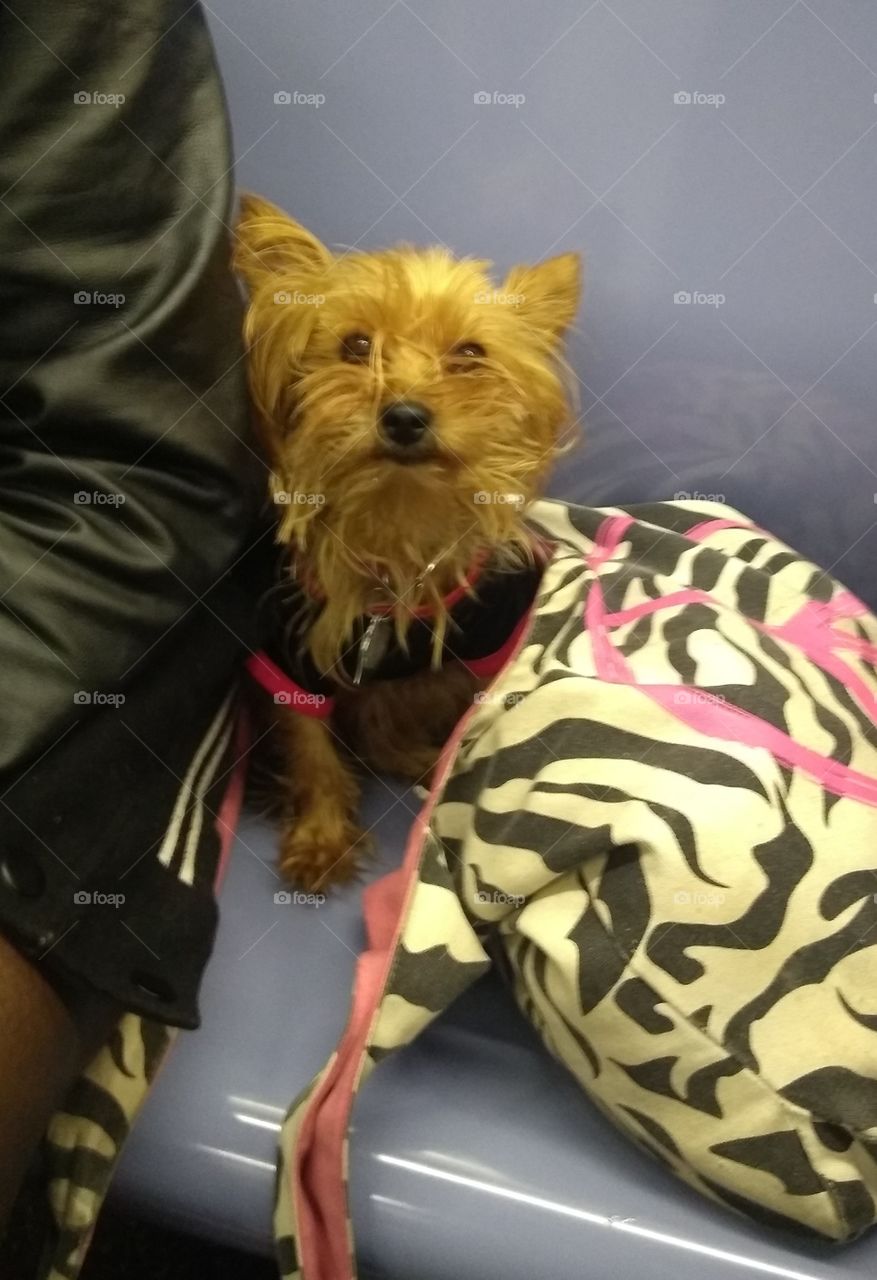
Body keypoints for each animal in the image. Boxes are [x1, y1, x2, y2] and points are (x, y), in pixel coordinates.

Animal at [233, 197, 581, 890]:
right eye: (355, 345)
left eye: (469, 353)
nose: (404, 415)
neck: (398, 520)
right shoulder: (291, 659)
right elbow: (311, 750)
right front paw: (320, 837)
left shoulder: (486, 653)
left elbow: (467, 728)